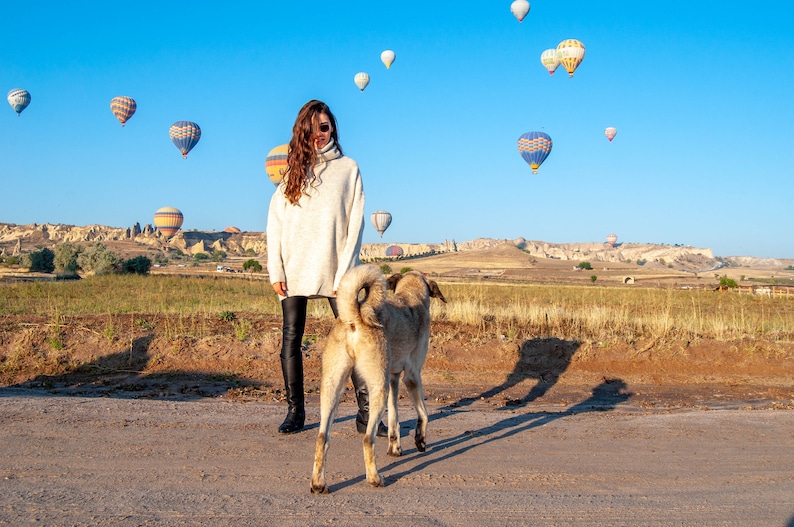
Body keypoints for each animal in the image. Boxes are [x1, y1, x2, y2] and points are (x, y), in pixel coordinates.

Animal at [310, 264, 446, 496]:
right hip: (377, 389)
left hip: (332, 388)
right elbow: (424, 413)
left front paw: (395, 448)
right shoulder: (412, 376)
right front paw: (420, 440)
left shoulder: (393, 378)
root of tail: (355, 316)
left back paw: (318, 483)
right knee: (367, 439)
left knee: (322, 437)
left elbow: (394, 418)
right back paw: (374, 478)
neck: (411, 295)